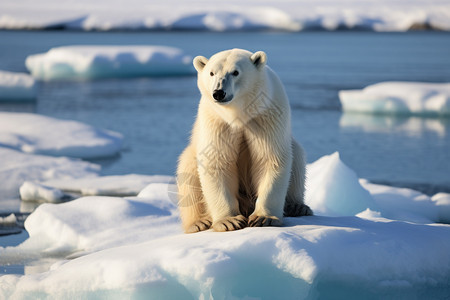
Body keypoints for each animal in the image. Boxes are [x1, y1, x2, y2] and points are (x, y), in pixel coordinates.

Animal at [177, 48, 312, 233]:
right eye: (212, 73)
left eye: (235, 72)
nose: (219, 93)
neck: (239, 114)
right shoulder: (217, 122)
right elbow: (216, 161)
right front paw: (229, 221)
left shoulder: (265, 116)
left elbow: (270, 158)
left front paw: (263, 218)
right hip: (192, 154)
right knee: (188, 173)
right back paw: (198, 222)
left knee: (297, 160)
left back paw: (297, 206)